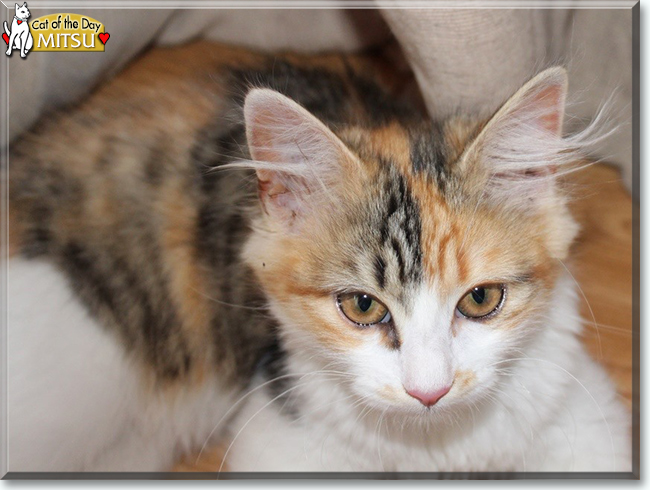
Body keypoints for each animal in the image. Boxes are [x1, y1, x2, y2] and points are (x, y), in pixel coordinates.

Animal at [7, 41, 632, 470]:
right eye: (362, 307)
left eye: (481, 299)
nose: (428, 392)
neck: (433, 446)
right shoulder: (281, 429)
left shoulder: (579, 410)